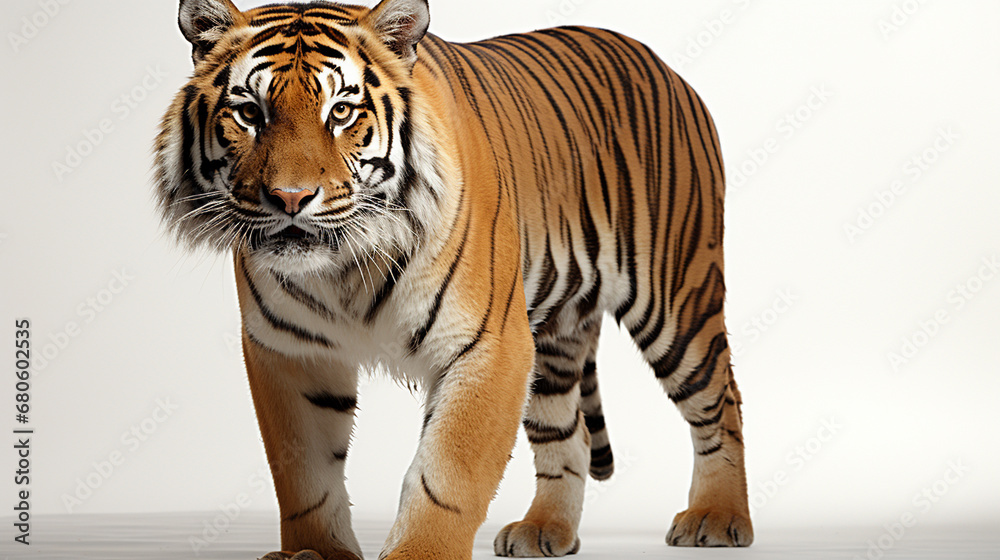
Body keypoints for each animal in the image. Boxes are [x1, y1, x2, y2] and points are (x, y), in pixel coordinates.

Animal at [154, 0, 753, 558]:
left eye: (342, 111)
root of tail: (658, 61)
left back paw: (719, 517)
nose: (290, 198)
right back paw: (546, 529)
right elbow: (304, 475)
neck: (344, 267)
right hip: (554, 337)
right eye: (249, 113)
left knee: (721, 401)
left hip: (676, 299)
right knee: (570, 433)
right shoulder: (290, 351)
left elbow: (448, 473)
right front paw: (315, 553)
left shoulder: (488, 345)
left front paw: (419, 553)